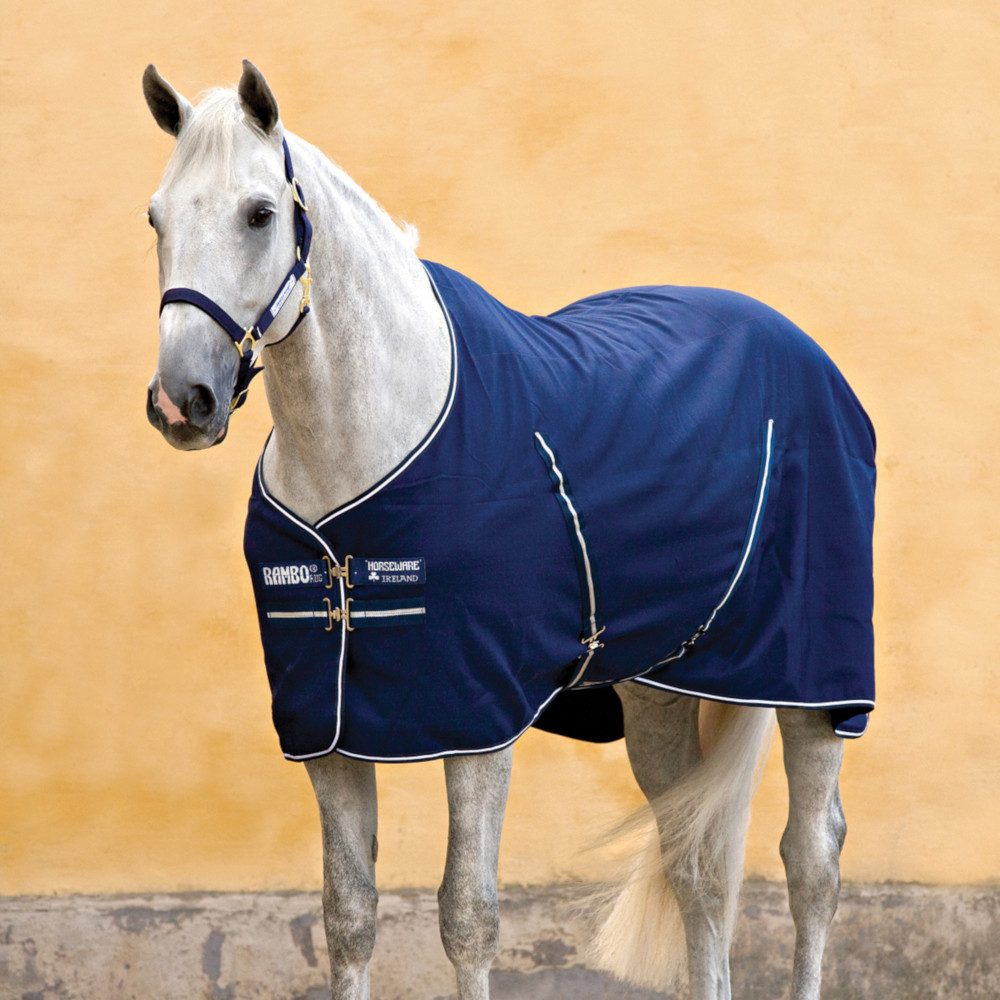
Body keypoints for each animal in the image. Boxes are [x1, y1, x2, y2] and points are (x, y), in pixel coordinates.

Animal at [142, 61, 875, 1000]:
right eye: (156, 217)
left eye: (260, 213)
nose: (181, 400)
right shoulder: (326, 727)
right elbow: (347, 915)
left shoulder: (478, 716)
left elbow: (468, 915)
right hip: (661, 688)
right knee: (698, 865)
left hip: (813, 682)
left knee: (812, 862)